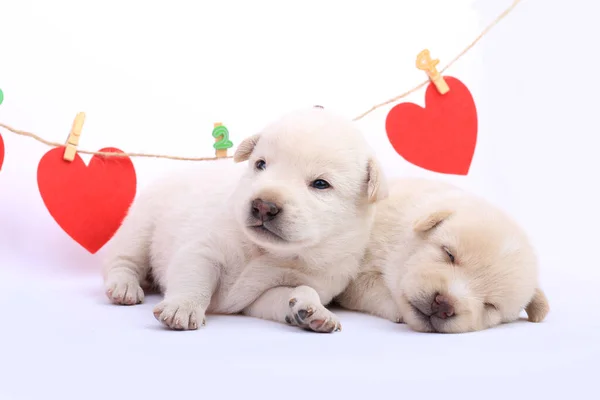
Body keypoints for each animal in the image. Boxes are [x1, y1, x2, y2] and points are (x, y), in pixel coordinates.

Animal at [101, 108, 386, 332]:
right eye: (260, 164)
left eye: (320, 184)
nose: (263, 206)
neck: (267, 252)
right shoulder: (203, 249)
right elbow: (193, 279)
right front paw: (183, 307)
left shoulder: (268, 294)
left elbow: (298, 291)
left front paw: (311, 310)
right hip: (140, 226)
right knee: (123, 261)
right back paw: (124, 287)